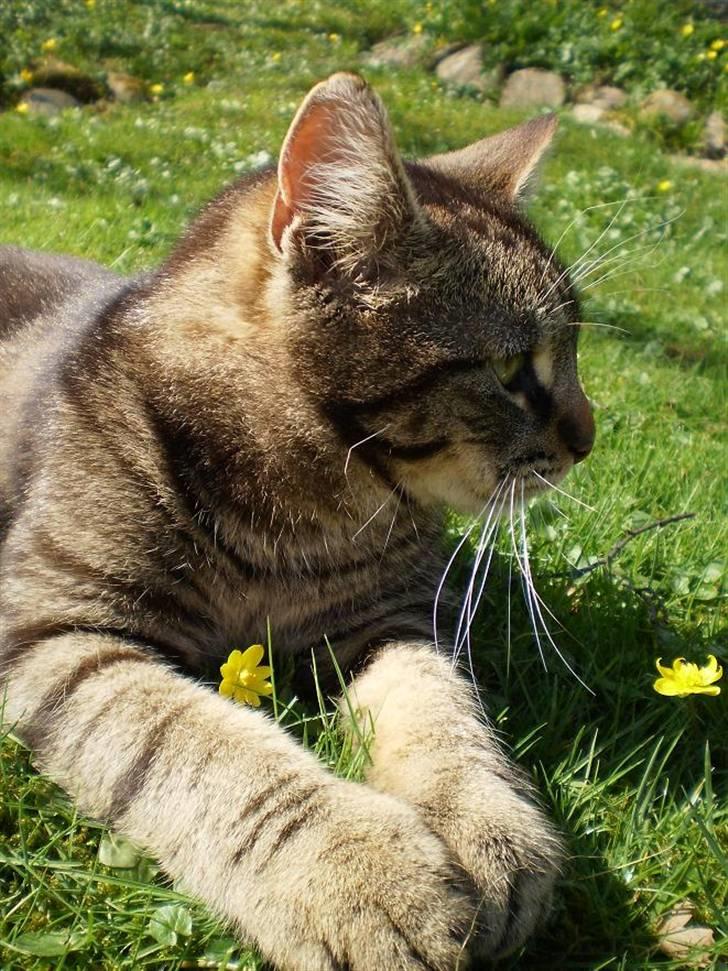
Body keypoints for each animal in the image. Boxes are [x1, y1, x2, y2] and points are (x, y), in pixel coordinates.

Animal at [0, 76, 596, 971]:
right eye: (510, 370)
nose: (591, 439)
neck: (294, 513)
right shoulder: (57, 628)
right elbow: (203, 746)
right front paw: (356, 869)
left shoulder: (393, 621)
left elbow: (445, 713)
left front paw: (487, 825)